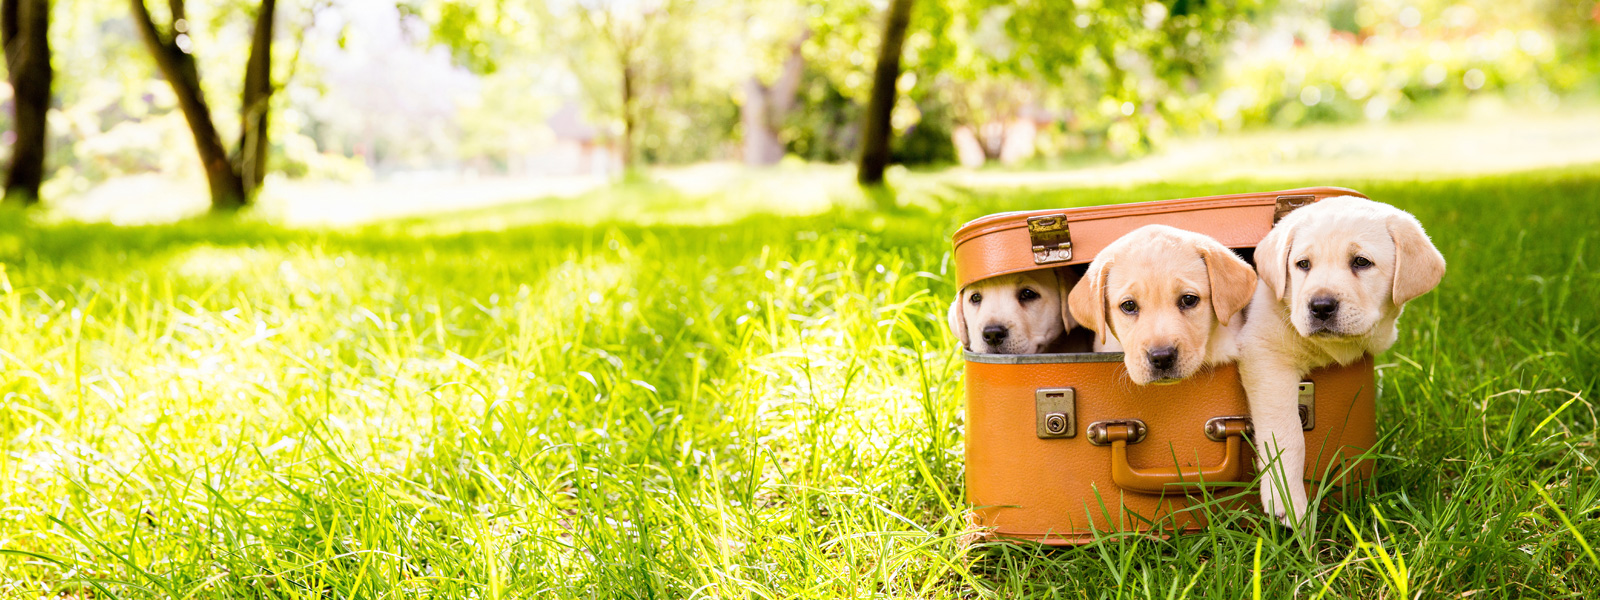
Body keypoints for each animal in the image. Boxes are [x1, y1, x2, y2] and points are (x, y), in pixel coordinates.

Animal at [1235, 196, 1452, 524]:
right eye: (1303, 264)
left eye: (1361, 262)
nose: (1321, 306)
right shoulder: (1263, 354)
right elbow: (1286, 434)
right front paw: (1288, 498)